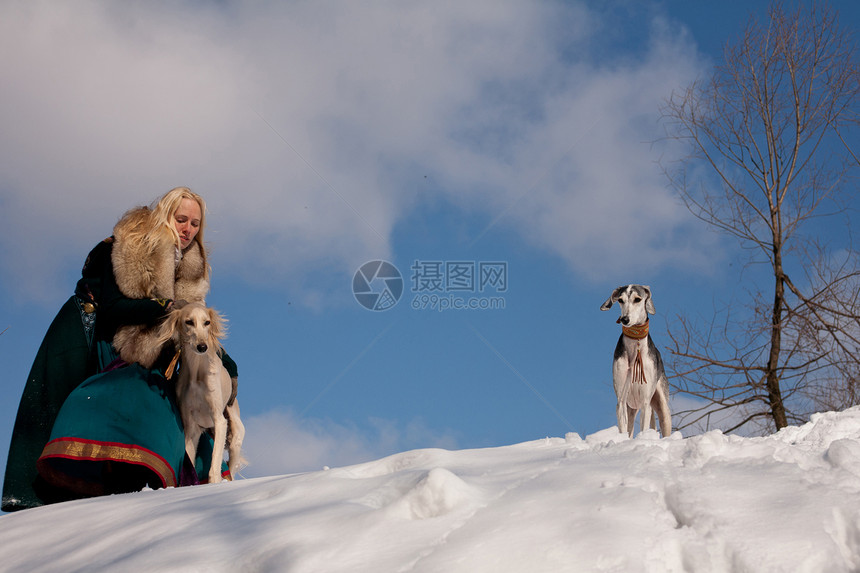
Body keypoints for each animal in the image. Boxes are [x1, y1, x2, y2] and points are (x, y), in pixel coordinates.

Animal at [156, 302, 245, 480]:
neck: (197, 373)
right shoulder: (190, 426)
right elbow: (189, 462)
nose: (202, 346)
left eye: (207, 322)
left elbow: (213, 470)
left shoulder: (219, 420)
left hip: (234, 438)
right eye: (189, 322)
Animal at [596, 284, 672, 436]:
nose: (625, 319)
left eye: (637, 299)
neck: (634, 346)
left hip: (663, 408)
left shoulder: (645, 403)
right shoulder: (621, 401)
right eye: (620, 300)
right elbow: (623, 430)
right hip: (631, 409)